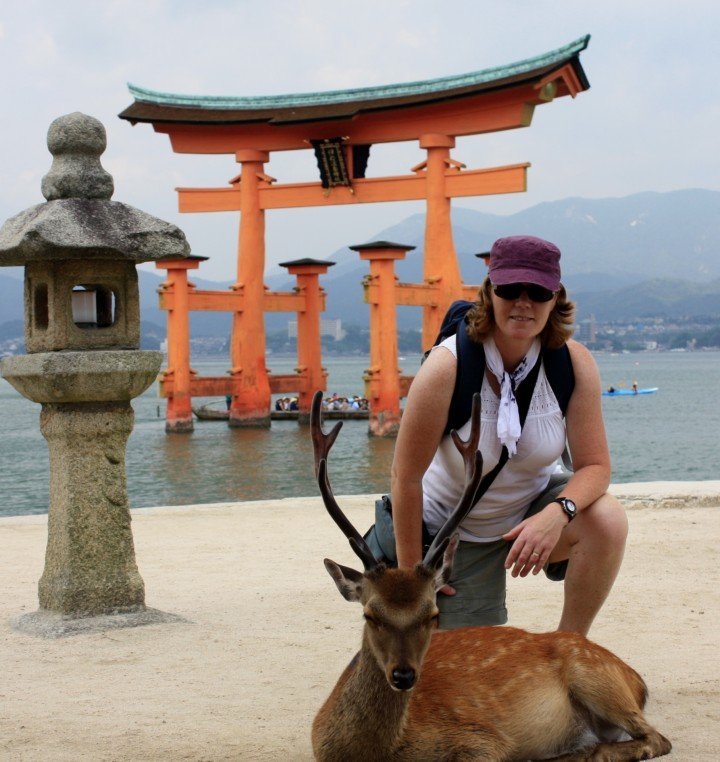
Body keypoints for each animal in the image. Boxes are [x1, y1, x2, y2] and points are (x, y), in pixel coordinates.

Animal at [308, 388, 668, 756]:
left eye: (433, 615)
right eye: (369, 614)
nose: (404, 676)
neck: (373, 751)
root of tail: (636, 679)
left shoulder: (483, 738)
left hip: (595, 675)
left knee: (655, 739)